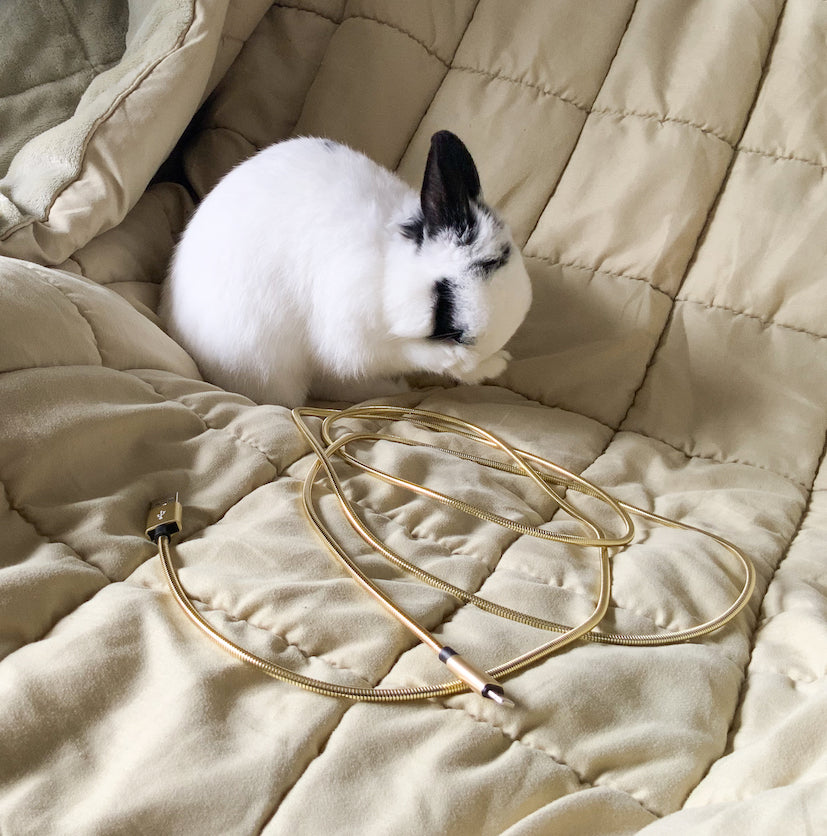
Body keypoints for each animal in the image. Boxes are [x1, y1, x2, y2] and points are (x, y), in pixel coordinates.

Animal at [161, 130, 532, 407]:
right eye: (442, 295)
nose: (478, 345)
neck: (387, 270)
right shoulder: (352, 339)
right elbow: (413, 353)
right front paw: (478, 366)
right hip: (273, 367)